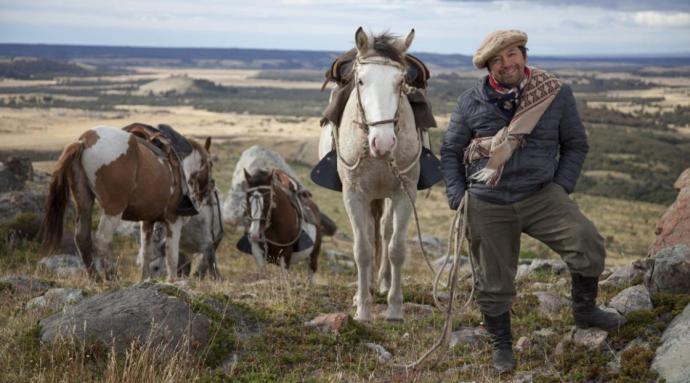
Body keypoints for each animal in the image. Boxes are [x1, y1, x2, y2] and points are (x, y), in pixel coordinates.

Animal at [41, 126, 212, 282]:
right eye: (211, 163)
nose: (207, 193)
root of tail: (85, 140)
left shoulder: (147, 221)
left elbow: (146, 252)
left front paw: (144, 279)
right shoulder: (173, 221)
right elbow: (172, 256)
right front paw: (172, 281)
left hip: (84, 204)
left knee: (82, 238)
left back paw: (95, 278)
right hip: (113, 209)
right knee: (102, 240)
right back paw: (111, 277)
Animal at [334, 27, 420, 322]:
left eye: (401, 81)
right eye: (360, 81)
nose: (382, 143)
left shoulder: (405, 193)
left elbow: (396, 249)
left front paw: (394, 308)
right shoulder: (354, 196)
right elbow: (362, 250)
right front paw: (362, 309)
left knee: (384, 230)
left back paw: (382, 283)